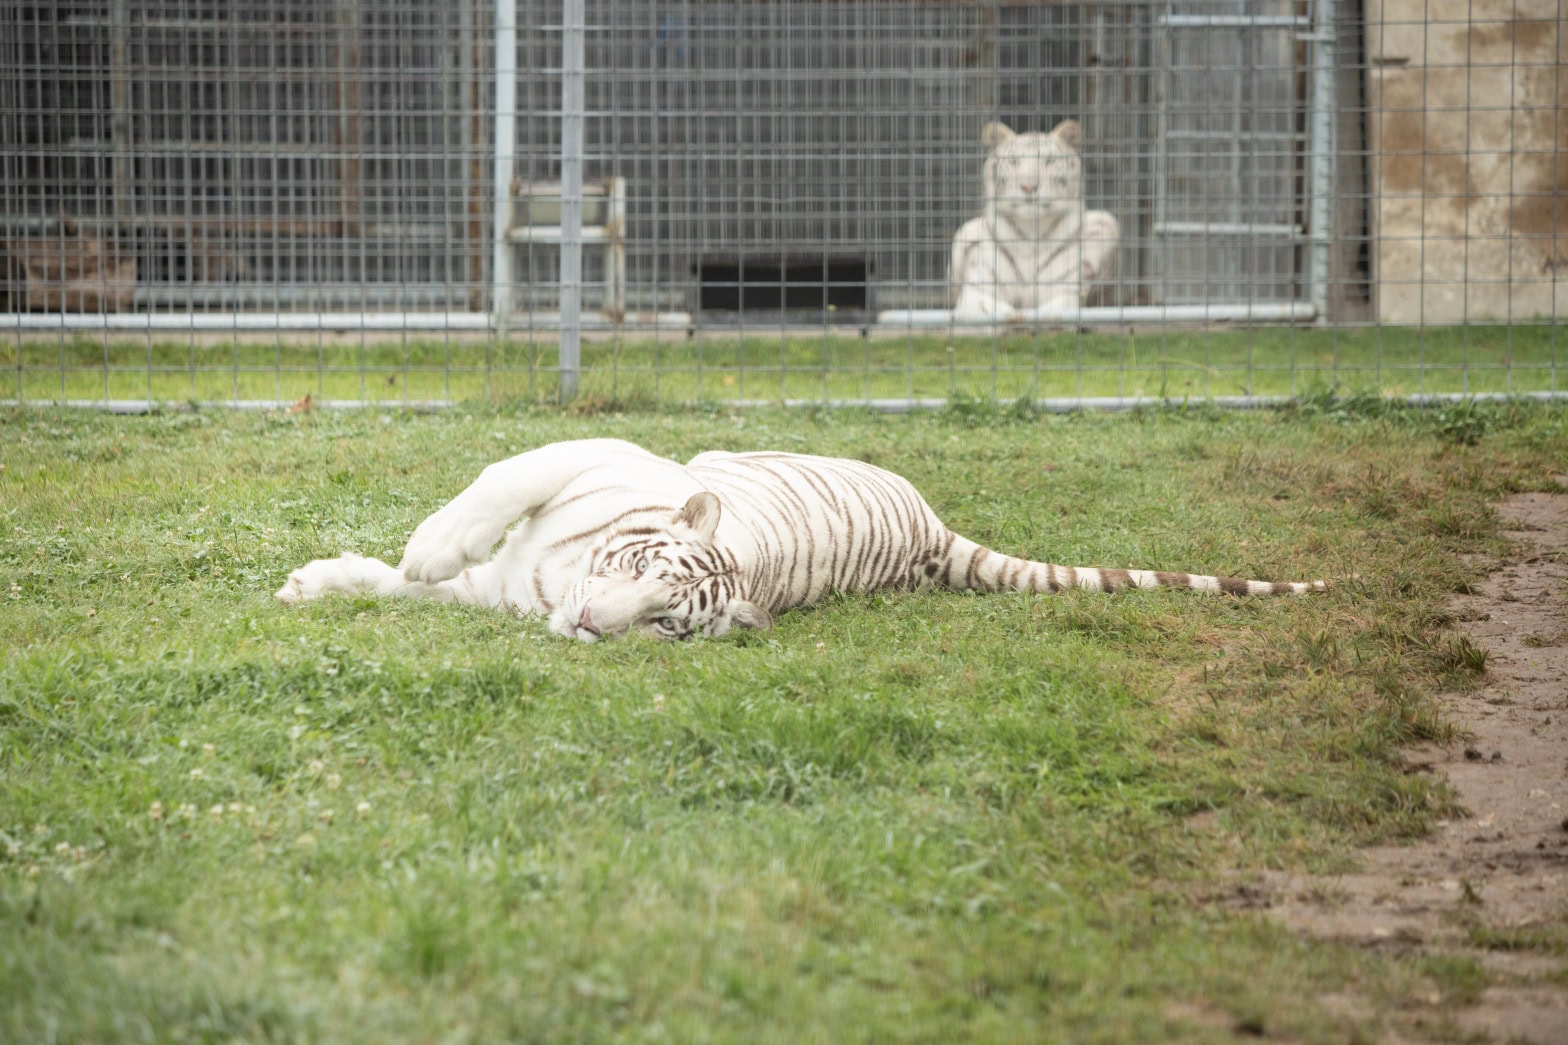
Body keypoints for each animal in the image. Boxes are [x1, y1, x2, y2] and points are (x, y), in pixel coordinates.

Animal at [947, 119, 1122, 320]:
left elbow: (1055, 312)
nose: (1029, 186)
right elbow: (981, 308)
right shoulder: (977, 289)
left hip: (1106, 222)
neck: (1030, 235)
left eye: (1049, 161)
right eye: (1014, 161)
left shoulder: (1065, 291)